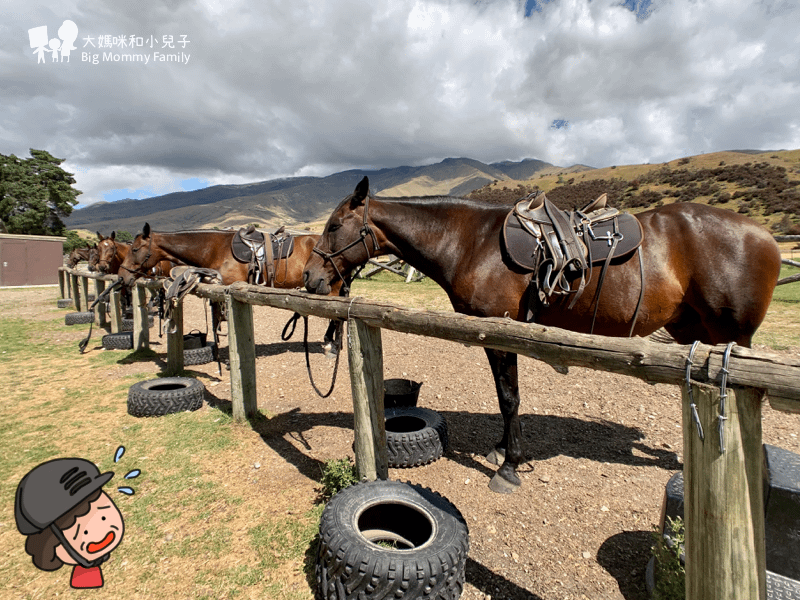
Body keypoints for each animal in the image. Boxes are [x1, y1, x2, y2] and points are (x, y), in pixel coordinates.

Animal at [304, 176, 780, 494]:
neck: (468, 241)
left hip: (732, 340)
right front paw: (501, 450)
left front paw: (510, 467)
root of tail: (763, 234)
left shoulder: (502, 333)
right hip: (693, 331)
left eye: (333, 227)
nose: (310, 277)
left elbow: (510, 397)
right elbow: (504, 396)